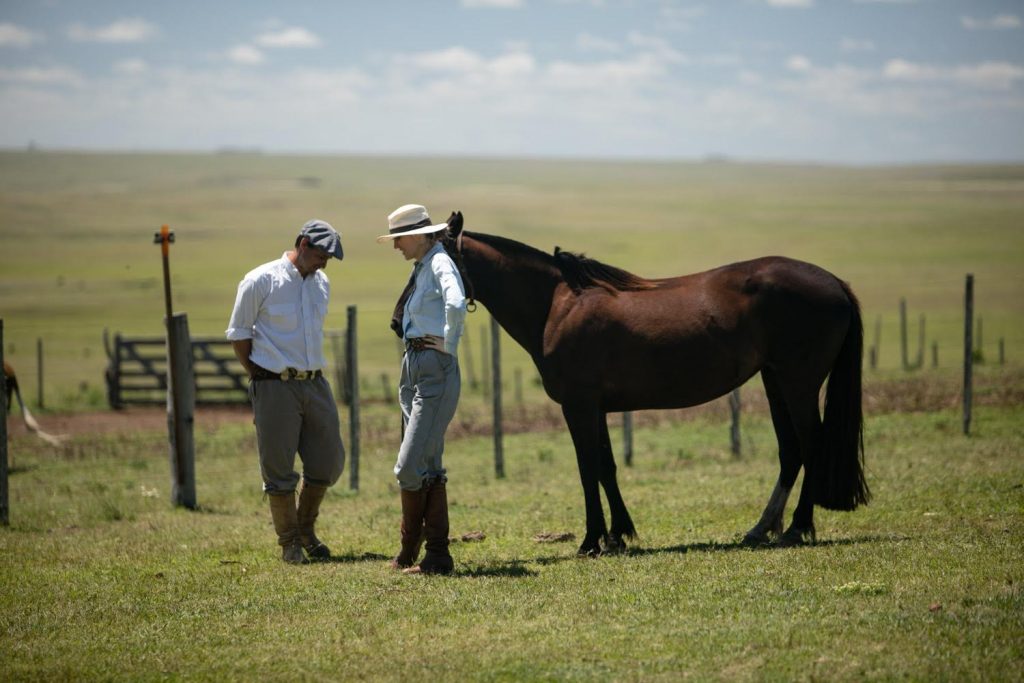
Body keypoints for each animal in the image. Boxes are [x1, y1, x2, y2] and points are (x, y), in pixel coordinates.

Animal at [442, 211, 872, 557]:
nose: (404, 319)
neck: (558, 306)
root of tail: (836, 283)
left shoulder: (578, 406)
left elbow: (587, 467)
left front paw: (591, 540)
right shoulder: (596, 407)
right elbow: (607, 466)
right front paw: (618, 534)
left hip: (798, 383)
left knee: (811, 445)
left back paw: (797, 527)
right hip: (775, 380)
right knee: (791, 450)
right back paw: (761, 528)